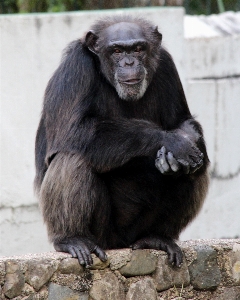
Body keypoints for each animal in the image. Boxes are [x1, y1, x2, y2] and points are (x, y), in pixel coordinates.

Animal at [34, 14, 209, 268]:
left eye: (138, 49)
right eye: (116, 50)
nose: (128, 63)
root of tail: (123, 244)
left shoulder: (167, 65)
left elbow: (182, 120)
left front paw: (185, 142)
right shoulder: (75, 68)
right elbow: (73, 130)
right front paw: (174, 142)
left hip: (137, 231)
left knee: (196, 169)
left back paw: (158, 236)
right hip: (104, 235)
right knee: (73, 157)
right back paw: (72, 239)